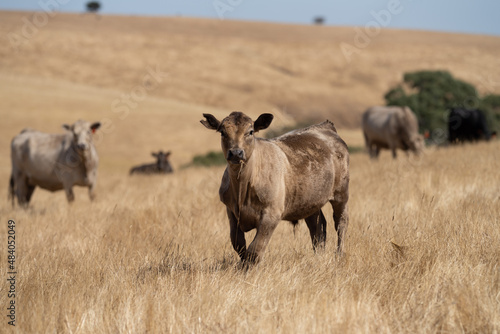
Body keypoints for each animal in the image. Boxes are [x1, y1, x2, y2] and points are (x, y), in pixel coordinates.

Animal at [201, 112, 350, 264]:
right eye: (222, 132)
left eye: (251, 132)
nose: (236, 153)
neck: (241, 190)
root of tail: (324, 126)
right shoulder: (231, 211)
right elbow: (238, 243)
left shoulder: (271, 214)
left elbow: (255, 249)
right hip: (310, 200)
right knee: (317, 226)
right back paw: (318, 257)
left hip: (341, 193)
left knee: (341, 221)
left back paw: (339, 255)